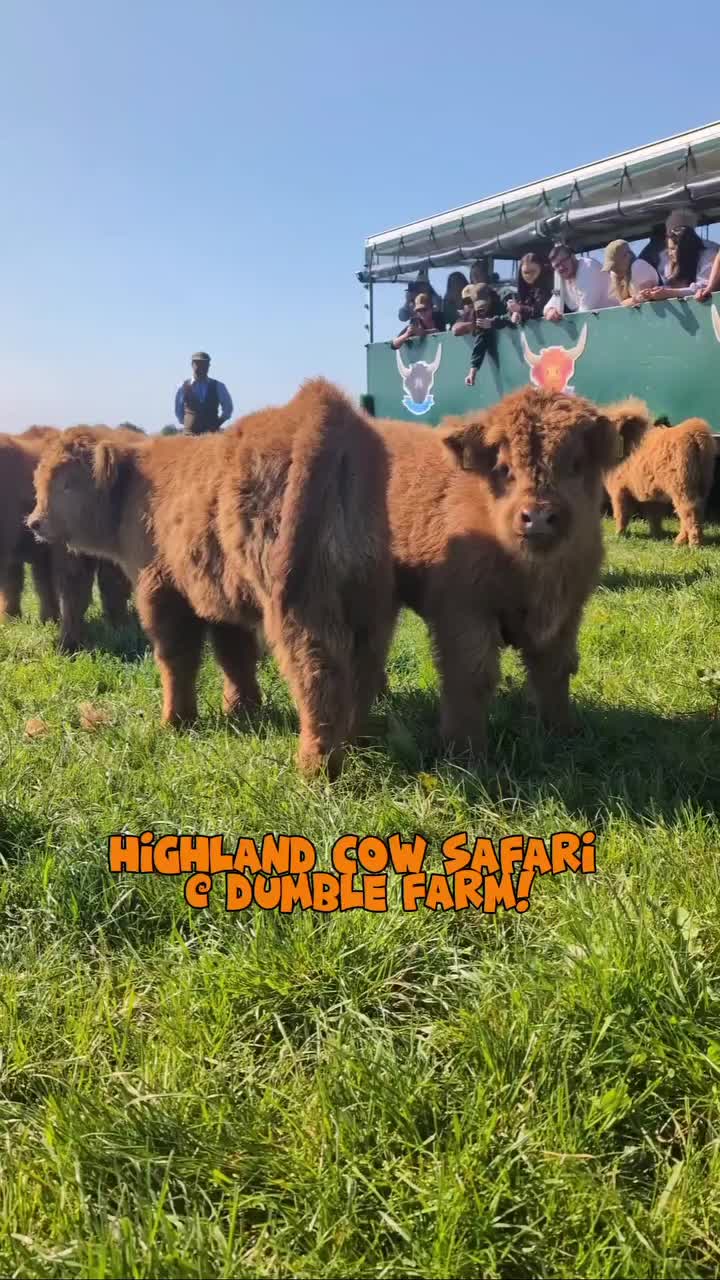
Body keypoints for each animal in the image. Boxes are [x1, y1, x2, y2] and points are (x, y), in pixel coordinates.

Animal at [28, 379, 395, 777]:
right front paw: (241, 708)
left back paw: (315, 765)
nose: (34, 522)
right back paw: (356, 740)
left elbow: (176, 658)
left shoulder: (162, 590)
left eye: (67, 483)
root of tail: (318, 404)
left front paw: (176, 721)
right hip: (366, 592)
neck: (133, 491)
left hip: (299, 601)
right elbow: (234, 656)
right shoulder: (220, 598)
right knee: (364, 663)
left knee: (318, 671)